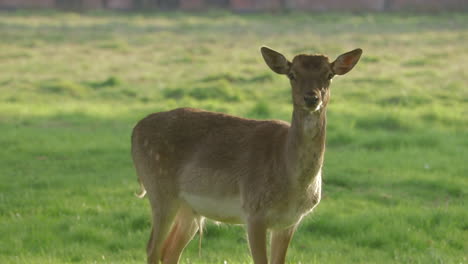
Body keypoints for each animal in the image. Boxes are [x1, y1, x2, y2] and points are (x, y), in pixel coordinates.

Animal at [130, 46, 364, 262]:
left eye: (329, 74)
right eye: (292, 74)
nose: (311, 98)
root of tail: (135, 130)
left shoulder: (289, 222)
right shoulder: (254, 211)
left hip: (189, 208)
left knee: (169, 251)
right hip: (160, 190)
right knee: (152, 248)